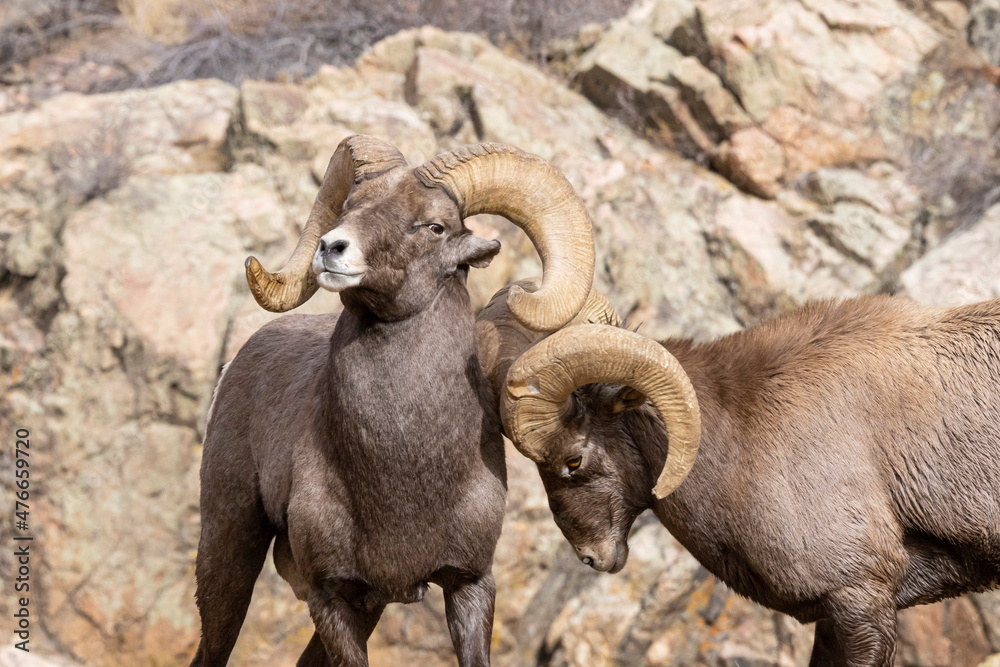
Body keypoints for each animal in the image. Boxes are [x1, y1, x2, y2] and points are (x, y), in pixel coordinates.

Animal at [191, 135, 598, 667]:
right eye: (349, 206)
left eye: (435, 226)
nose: (331, 247)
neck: (402, 472)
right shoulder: (331, 596)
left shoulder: (468, 584)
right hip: (229, 550)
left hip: (367, 604)